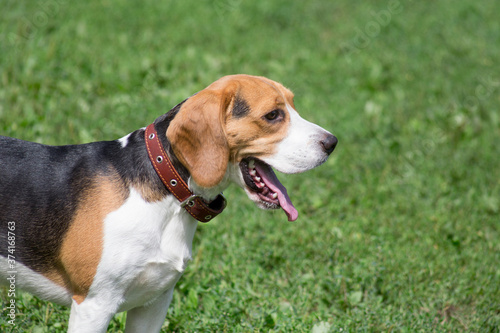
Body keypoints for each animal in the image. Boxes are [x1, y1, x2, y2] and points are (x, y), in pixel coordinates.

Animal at [0, 74, 338, 330]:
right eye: (272, 115)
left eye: (293, 106)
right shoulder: (93, 304)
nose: (333, 143)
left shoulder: (154, 303)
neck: (167, 192)